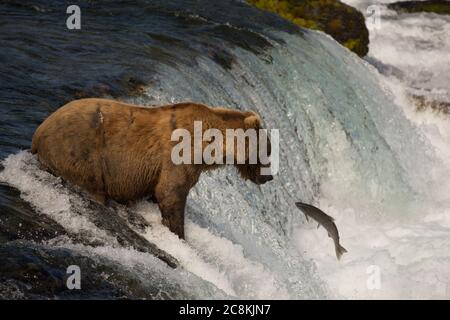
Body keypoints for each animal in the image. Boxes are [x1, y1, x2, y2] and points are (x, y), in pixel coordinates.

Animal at [31, 99, 272, 239]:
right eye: (268, 150)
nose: (268, 177)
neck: (211, 145)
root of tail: (38, 132)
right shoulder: (179, 156)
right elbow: (170, 193)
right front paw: (178, 234)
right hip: (80, 153)